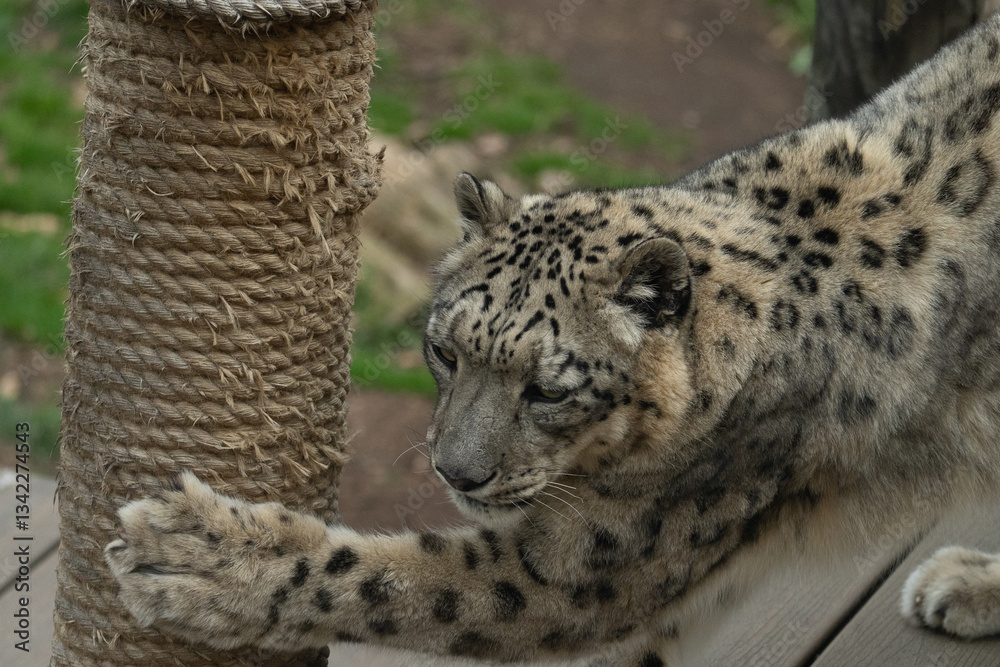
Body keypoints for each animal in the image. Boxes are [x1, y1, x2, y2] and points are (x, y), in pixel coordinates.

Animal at [105, 12, 1000, 665]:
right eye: (445, 350)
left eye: (550, 388)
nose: (455, 470)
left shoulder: (594, 559)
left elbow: (399, 581)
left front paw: (198, 557)